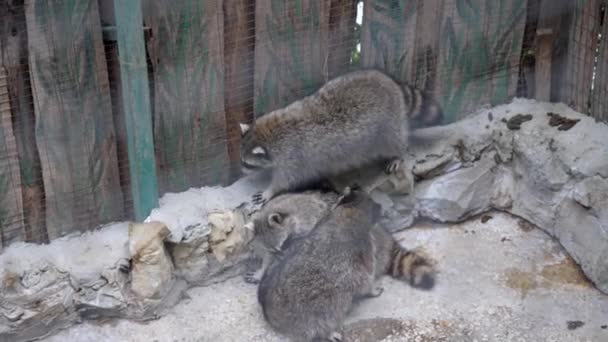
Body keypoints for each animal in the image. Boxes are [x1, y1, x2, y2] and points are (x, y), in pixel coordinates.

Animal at [238, 68, 442, 204]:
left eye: (247, 163)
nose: (242, 171)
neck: (267, 133)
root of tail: (387, 80)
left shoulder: (292, 155)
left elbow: (287, 179)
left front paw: (270, 191)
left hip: (388, 123)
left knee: (394, 140)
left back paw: (398, 154)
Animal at [258, 190, 434, 342]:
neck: (351, 209)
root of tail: (270, 311)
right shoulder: (364, 247)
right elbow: (364, 276)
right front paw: (371, 289)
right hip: (312, 308)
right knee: (321, 319)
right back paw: (326, 332)